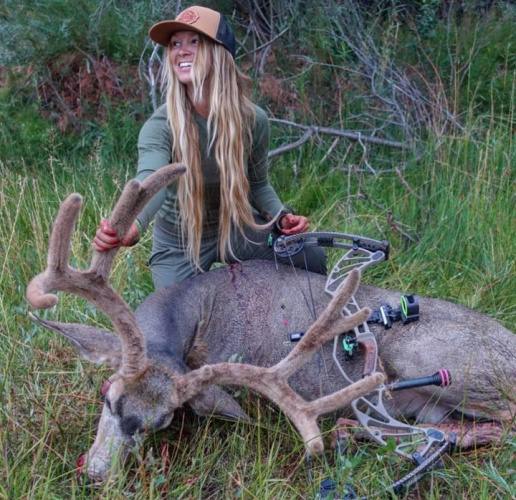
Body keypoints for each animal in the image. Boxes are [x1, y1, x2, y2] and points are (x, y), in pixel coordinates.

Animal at [27, 165, 516, 484]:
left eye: (162, 422)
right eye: (106, 396)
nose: (95, 474)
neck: (199, 316)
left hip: (434, 359)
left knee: (504, 423)